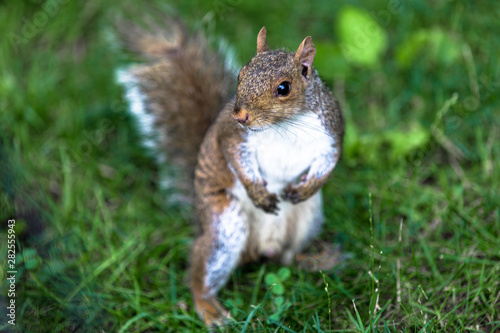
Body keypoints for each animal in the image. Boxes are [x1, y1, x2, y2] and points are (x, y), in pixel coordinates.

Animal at [118, 19, 344, 326]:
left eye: (284, 88)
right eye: (241, 74)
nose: (240, 116)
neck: (286, 125)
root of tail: (262, 248)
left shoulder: (331, 134)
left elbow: (329, 162)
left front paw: (307, 187)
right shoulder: (233, 137)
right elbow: (236, 161)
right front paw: (258, 193)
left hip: (308, 218)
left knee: (285, 258)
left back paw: (314, 260)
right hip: (224, 226)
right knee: (201, 272)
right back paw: (209, 308)